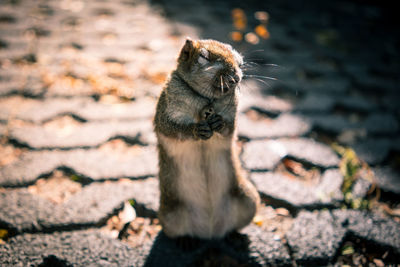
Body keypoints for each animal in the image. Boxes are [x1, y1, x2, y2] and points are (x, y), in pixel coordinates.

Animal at [153, 38, 260, 242]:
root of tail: (209, 233)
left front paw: (219, 122)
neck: (206, 99)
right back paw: (185, 241)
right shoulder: (165, 111)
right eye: (203, 56)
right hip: (169, 215)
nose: (236, 76)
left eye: (239, 61)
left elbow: (230, 128)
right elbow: (171, 128)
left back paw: (233, 236)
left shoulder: (232, 115)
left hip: (248, 200)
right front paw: (196, 129)